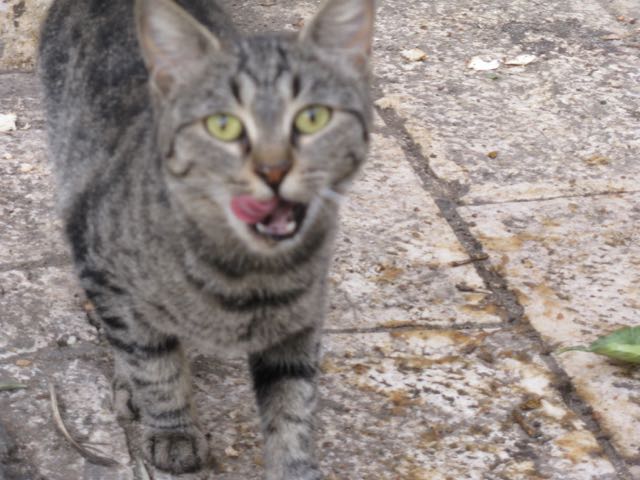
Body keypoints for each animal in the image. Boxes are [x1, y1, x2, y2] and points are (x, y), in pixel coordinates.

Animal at [37, 0, 372, 478]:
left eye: (313, 118)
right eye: (223, 125)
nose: (274, 169)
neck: (242, 270)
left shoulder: (300, 319)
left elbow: (292, 405)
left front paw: (295, 466)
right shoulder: (103, 268)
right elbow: (153, 363)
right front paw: (173, 429)